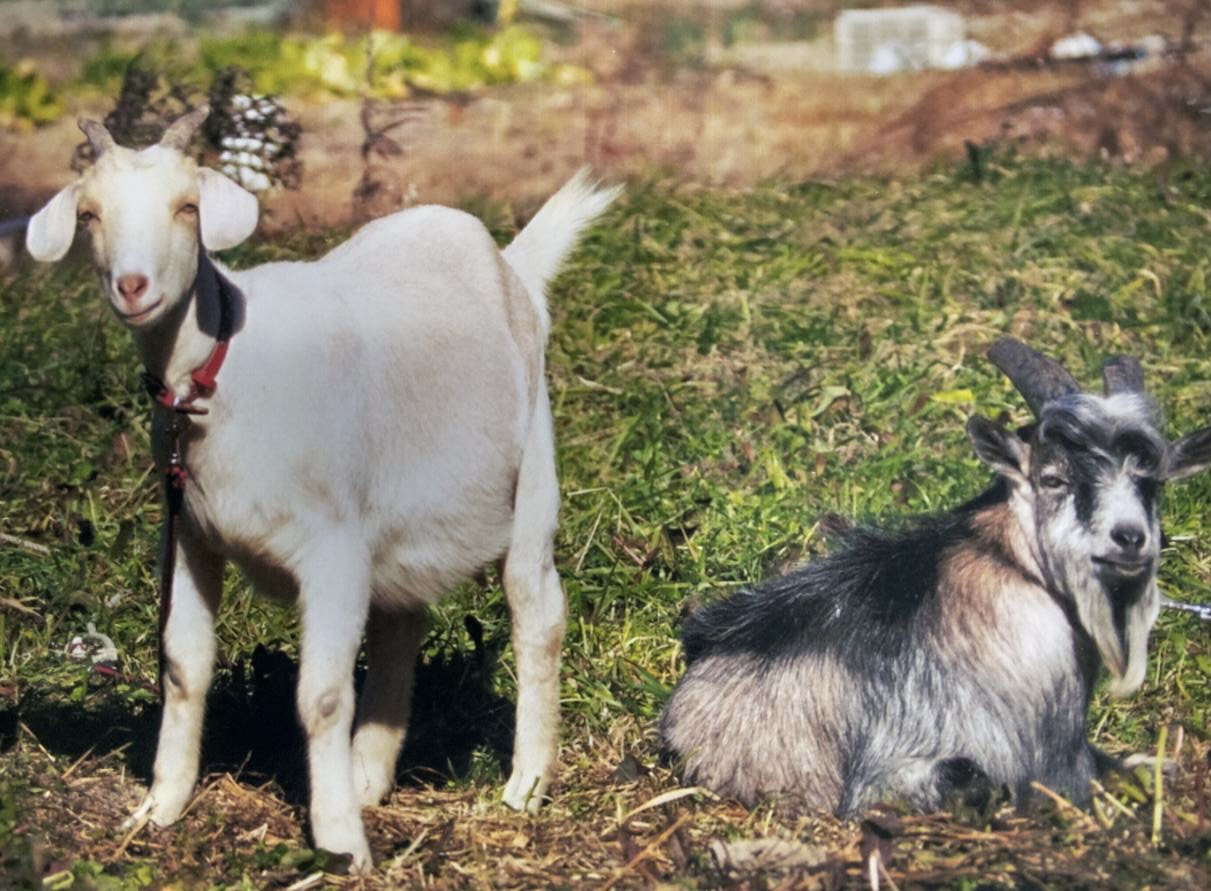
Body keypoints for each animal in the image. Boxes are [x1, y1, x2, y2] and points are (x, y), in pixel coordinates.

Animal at [24, 105, 620, 871]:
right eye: (90, 214)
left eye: (188, 208)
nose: (132, 286)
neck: (225, 368)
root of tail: (509, 261)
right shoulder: (189, 531)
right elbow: (184, 666)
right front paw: (159, 808)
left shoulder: (332, 546)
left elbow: (323, 696)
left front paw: (339, 842)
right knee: (402, 619)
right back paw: (368, 776)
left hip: (533, 463)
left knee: (536, 607)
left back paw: (525, 784)